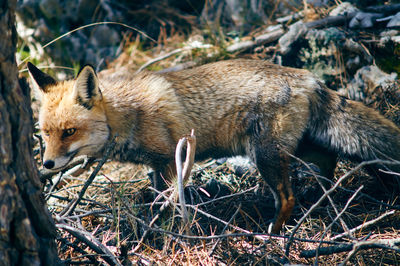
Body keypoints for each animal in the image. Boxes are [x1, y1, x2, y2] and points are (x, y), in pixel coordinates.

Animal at [27, 59, 400, 233]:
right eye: (44, 134)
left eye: (69, 131)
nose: (46, 165)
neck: (129, 114)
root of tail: (308, 76)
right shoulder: (156, 165)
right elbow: (157, 200)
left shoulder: (172, 159)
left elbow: (172, 202)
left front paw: (170, 232)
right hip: (298, 146)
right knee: (329, 157)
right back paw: (325, 197)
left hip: (266, 155)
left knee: (288, 197)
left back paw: (274, 232)